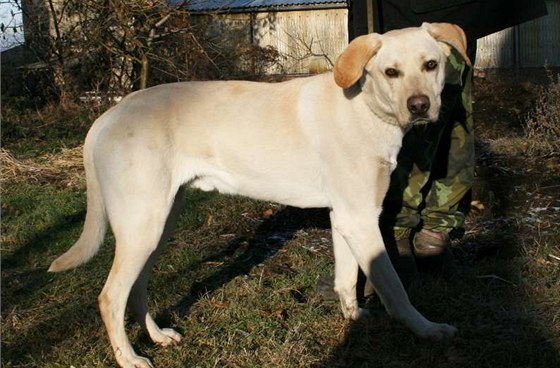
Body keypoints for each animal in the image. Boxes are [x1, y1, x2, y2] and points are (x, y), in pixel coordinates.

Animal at [49, 23, 468, 368]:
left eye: (431, 65)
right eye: (391, 72)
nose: (420, 106)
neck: (365, 108)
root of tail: (110, 114)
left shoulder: (347, 217)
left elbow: (347, 278)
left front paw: (353, 319)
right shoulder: (361, 219)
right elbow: (394, 289)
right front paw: (426, 329)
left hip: (159, 225)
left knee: (135, 290)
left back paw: (156, 336)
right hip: (142, 226)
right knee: (110, 296)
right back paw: (129, 358)